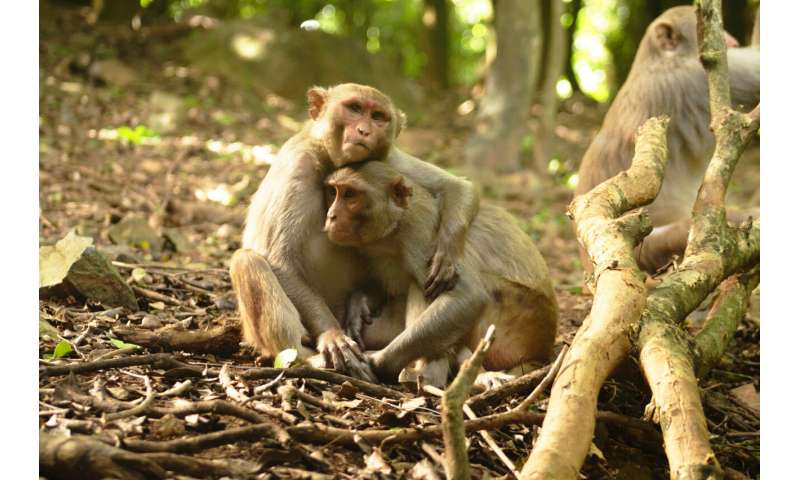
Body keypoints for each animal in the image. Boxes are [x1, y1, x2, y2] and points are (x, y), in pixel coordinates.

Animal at [231, 84, 482, 380]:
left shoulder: (389, 159)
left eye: (378, 117)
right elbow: (279, 258)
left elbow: (457, 186)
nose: (364, 130)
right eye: (354, 108)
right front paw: (332, 335)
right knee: (247, 260)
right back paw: (306, 358)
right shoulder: (298, 164)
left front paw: (445, 255)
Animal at [324, 161, 556, 386]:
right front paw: (359, 304)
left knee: (427, 287)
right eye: (334, 192)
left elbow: (467, 295)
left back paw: (430, 376)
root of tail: (543, 351)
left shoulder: (421, 232)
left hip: (517, 325)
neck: (393, 230)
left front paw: (376, 362)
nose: (331, 216)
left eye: (350, 195)